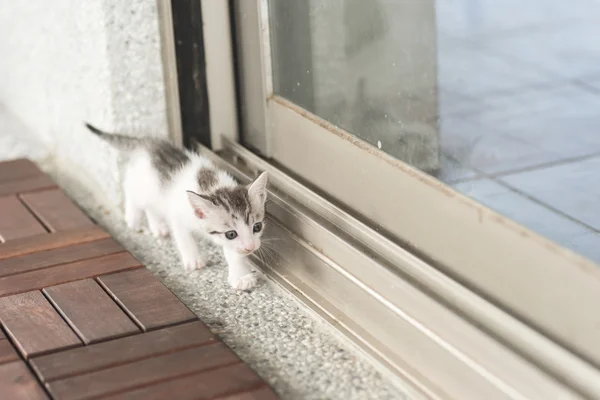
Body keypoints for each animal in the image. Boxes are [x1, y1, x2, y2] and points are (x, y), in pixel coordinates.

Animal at [84, 122, 268, 290]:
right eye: (231, 234)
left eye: (257, 227)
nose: (250, 247)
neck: (212, 186)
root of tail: (147, 143)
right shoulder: (178, 217)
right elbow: (184, 238)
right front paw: (193, 260)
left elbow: (234, 253)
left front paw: (241, 276)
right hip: (141, 186)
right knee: (131, 192)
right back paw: (133, 219)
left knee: (151, 208)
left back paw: (158, 227)